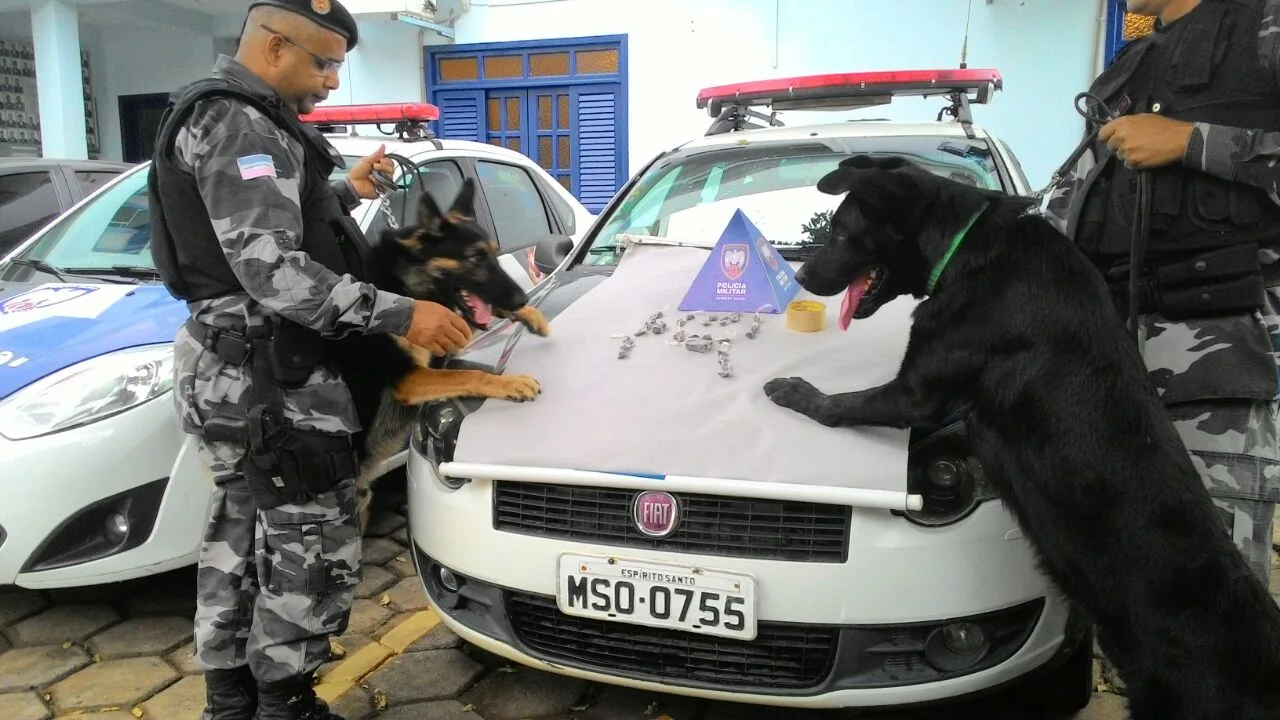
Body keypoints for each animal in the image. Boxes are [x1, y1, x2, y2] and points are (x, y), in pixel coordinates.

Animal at [327, 176, 547, 530]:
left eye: (494, 255)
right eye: (475, 258)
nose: (521, 298)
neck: (407, 283)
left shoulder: (445, 338)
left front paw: (531, 316)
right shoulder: (411, 378)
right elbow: (468, 373)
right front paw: (511, 383)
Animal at [757, 154, 1280, 712]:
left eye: (839, 231)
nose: (801, 275)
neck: (964, 244)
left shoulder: (914, 394)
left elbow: (838, 405)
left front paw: (792, 390)